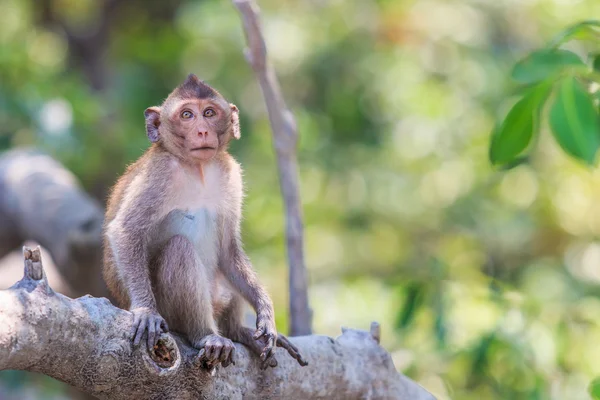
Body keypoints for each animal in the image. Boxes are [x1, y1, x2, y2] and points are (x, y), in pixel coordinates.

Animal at [101, 74, 308, 368]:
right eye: (187, 115)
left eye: (209, 113)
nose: (201, 131)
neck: (197, 168)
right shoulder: (160, 173)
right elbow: (126, 231)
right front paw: (145, 310)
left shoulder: (231, 173)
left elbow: (229, 249)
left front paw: (265, 311)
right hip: (174, 313)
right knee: (179, 249)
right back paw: (206, 336)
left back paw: (239, 332)